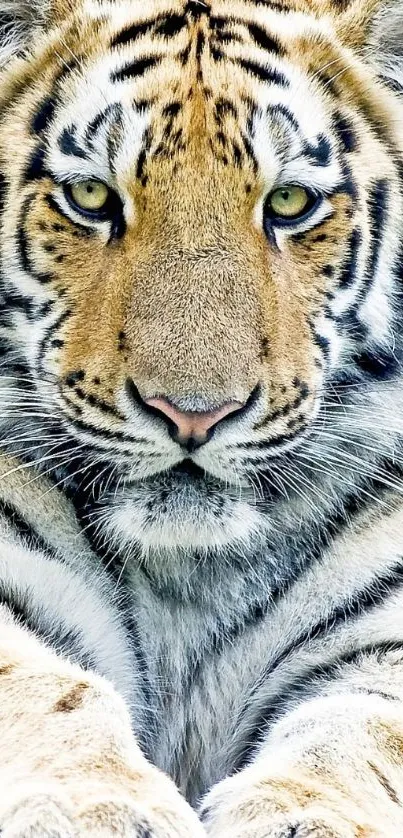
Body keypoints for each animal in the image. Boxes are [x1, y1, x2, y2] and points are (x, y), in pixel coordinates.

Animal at [2, 0, 403, 832]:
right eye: (92, 198)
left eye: (289, 203)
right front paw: (95, 805)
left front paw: (301, 814)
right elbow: (51, 689)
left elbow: (358, 731)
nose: (192, 416)